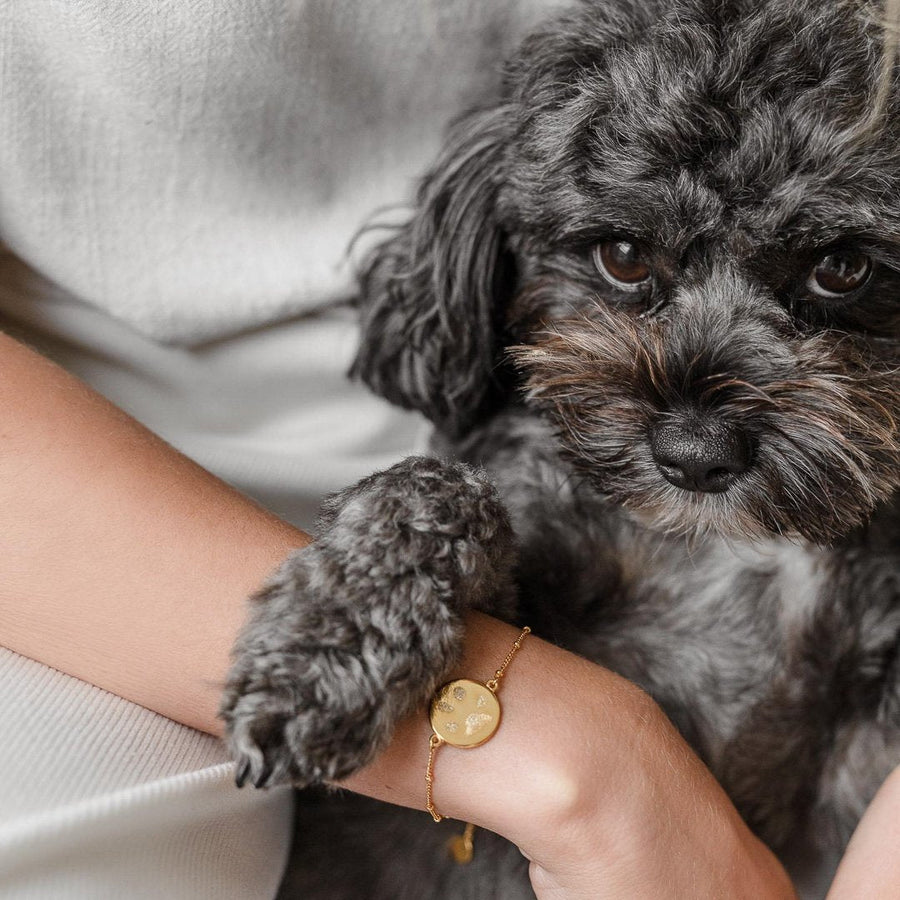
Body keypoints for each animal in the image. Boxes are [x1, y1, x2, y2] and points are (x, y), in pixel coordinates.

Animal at [221, 3, 900, 896]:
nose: (696, 453)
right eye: (623, 255)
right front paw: (321, 654)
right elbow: (435, 491)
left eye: (843, 268)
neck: (726, 548)